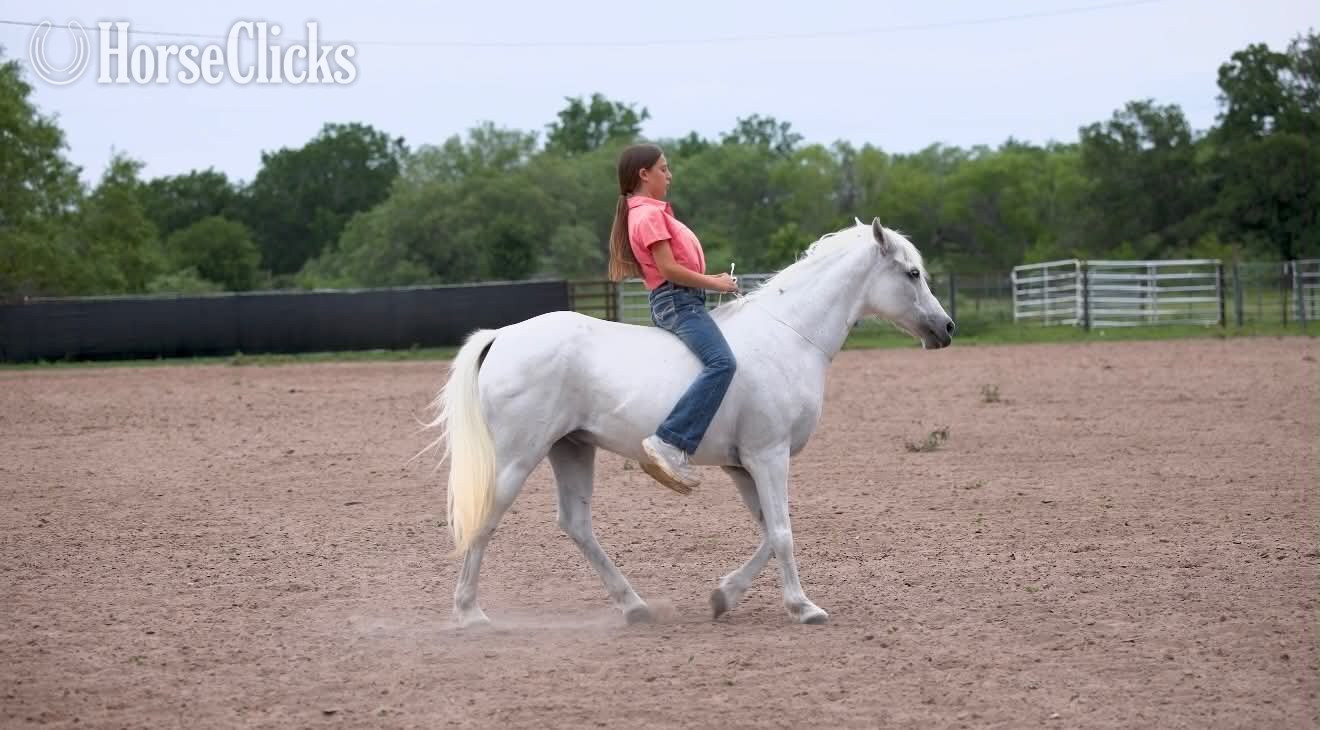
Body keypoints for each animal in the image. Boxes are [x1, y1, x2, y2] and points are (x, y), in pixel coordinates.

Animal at [423, 217, 954, 627]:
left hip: (571, 447)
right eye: (911, 272)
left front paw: (724, 596)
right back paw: (469, 613)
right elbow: (782, 532)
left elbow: (769, 531)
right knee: (488, 516)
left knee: (576, 524)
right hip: (518, 455)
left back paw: (634, 607)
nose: (946, 328)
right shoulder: (768, 456)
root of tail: (503, 336)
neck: (788, 336)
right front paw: (804, 607)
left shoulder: (743, 466)